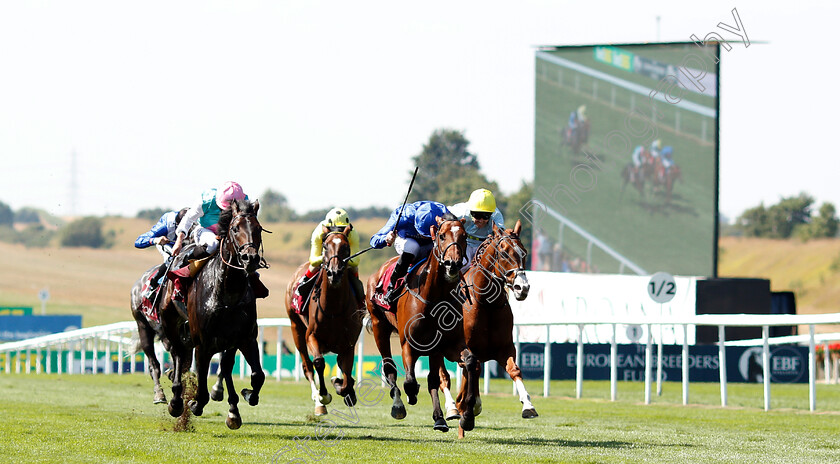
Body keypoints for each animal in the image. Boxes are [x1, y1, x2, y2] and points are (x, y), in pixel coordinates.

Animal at [284, 223, 362, 416]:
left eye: (346, 247)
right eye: (325, 247)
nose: (335, 273)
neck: (333, 307)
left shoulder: (349, 344)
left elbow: (347, 373)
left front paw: (343, 386)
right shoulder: (311, 335)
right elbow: (318, 362)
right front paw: (324, 396)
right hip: (296, 328)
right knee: (307, 367)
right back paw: (318, 402)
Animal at [368, 216, 480, 436]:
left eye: (464, 236)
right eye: (442, 235)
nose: (453, 264)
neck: (435, 298)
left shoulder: (447, 345)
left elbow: (468, 362)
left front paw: (466, 417)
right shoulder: (408, 345)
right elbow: (410, 381)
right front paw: (409, 397)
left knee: (433, 379)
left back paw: (440, 418)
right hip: (379, 327)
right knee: (389, 367)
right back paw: (398, 405)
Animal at [436, 219, 536, 418]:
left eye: (524, 252)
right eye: (504, 252)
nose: (522, 287)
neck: (486, 304)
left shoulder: (505, 348)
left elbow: (514, 369)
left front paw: (528, 405)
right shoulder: (466, 349)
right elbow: (471, 371)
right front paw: (469, 404)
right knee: (443, 377)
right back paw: (452, 407)